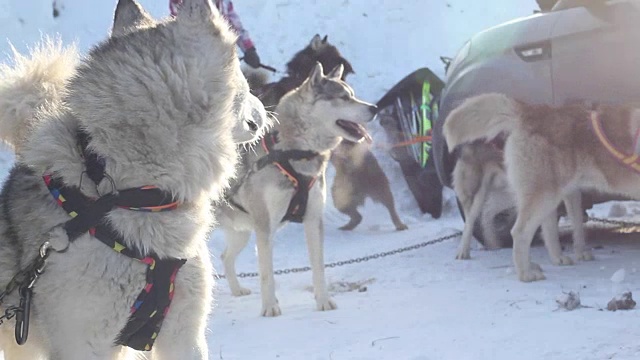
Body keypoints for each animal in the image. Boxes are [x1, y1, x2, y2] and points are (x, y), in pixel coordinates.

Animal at [220, 63, 376, 316]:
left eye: (352, 95)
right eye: (343, 97)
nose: (375, 108)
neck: (294, 152)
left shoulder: (313, 220)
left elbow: (318, 267)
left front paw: (323, 301)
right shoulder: (265, 227)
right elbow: (267, 275)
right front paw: (270, 307)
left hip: (240, 232)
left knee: (225, 257)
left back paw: (236, 290)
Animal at [442, 94, 624, 282]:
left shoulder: (568, 192)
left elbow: (573, 224)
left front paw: (572, 254)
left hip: (513, 194)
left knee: (493, 215)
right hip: (481, 190)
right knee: (472, 219)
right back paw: (464, 251)